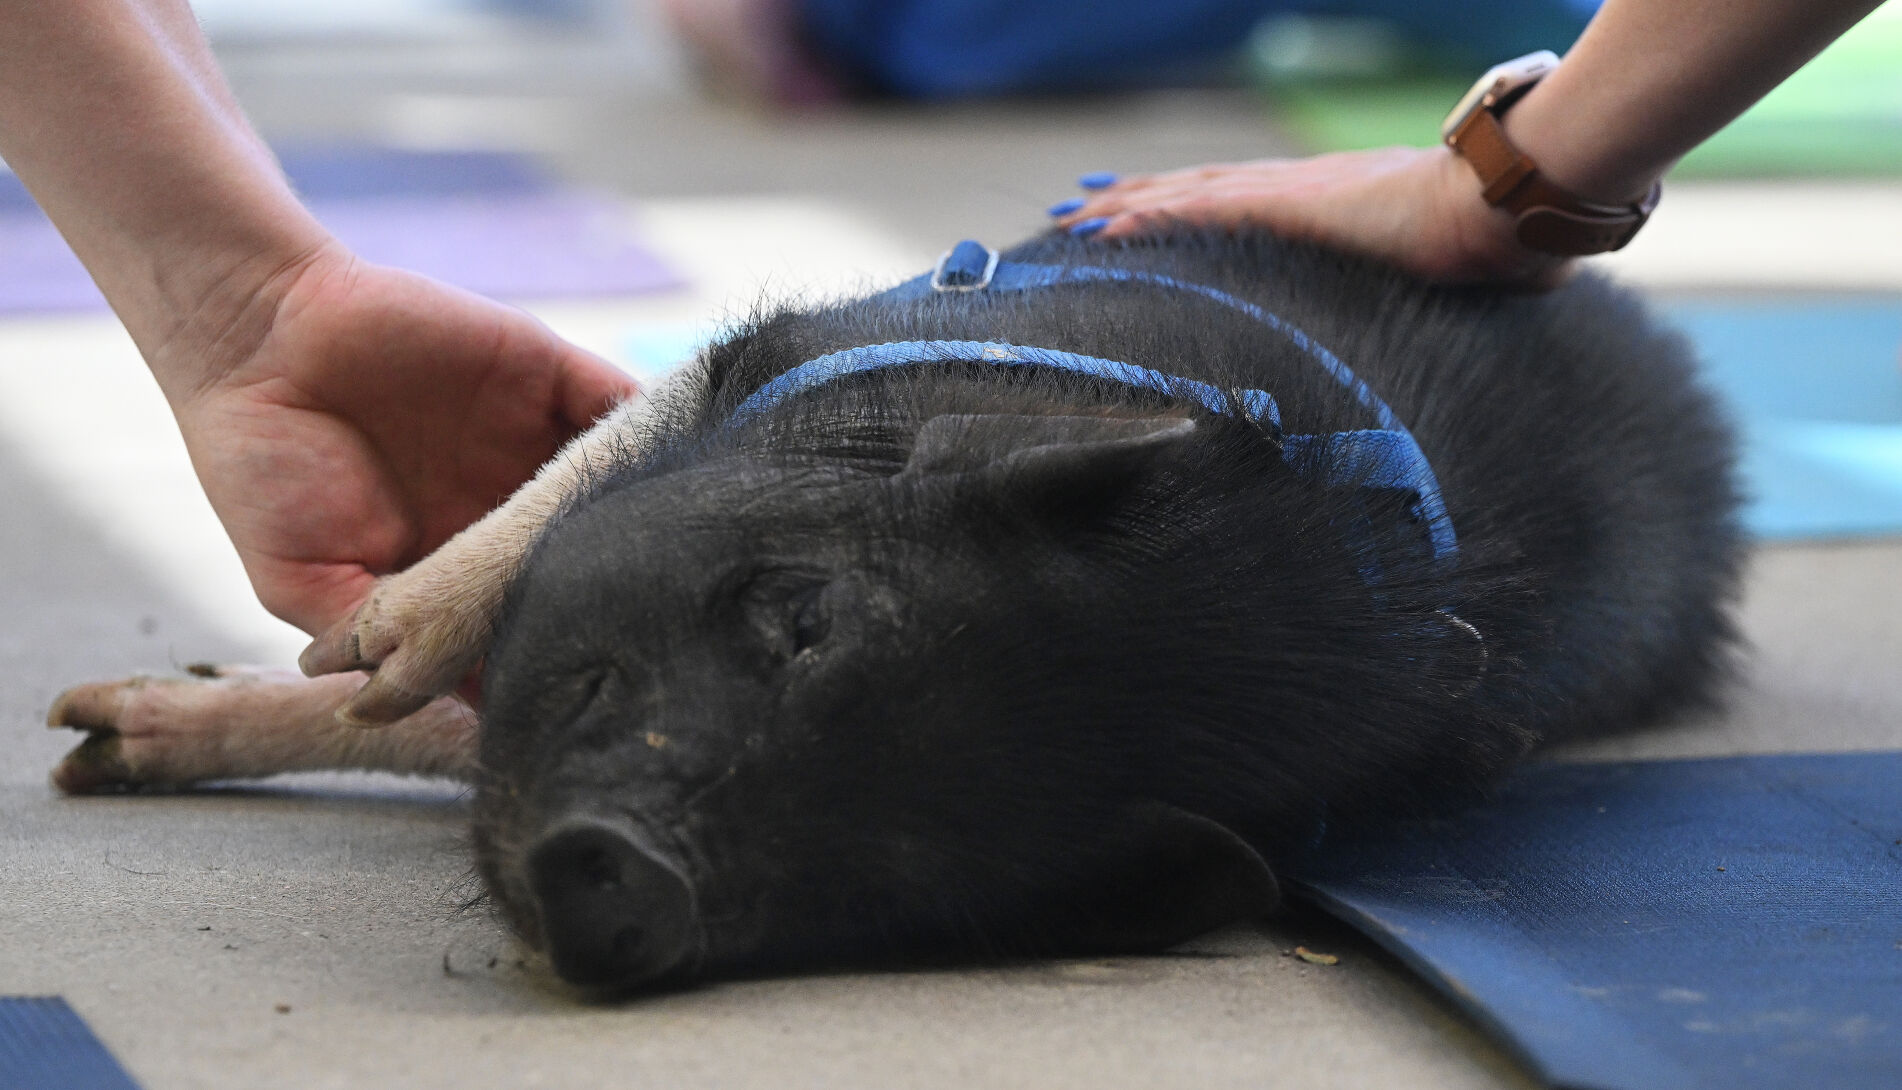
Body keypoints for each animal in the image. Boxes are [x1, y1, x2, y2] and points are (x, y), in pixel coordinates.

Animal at [49, 229, 1742, 995]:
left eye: (903, 870)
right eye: (799, 615)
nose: (624, 867)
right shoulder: (809, 337)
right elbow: (539, 505)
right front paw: (366, 648)